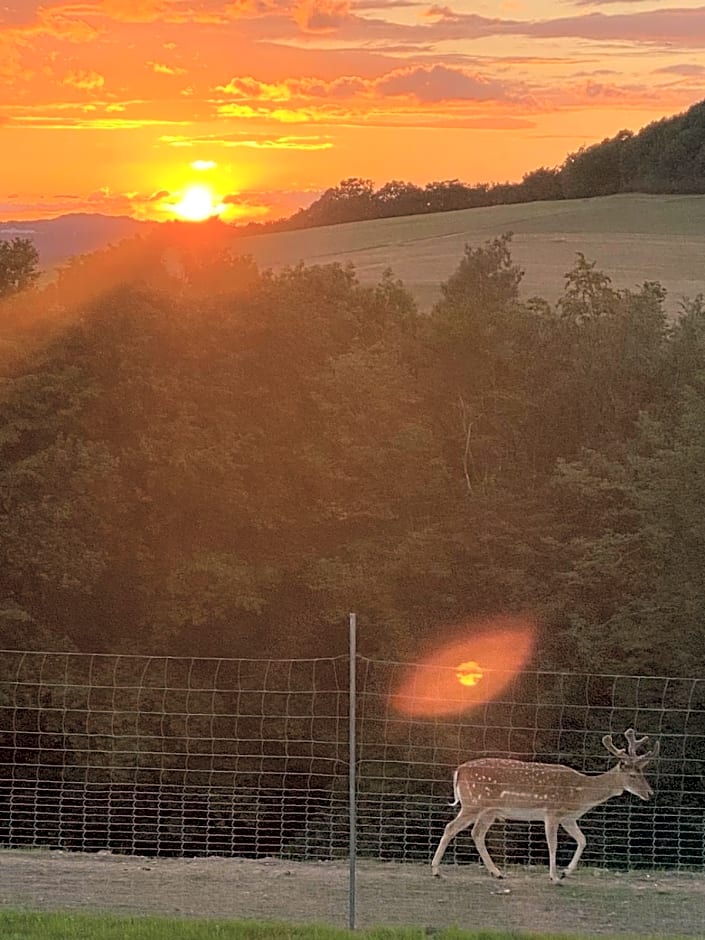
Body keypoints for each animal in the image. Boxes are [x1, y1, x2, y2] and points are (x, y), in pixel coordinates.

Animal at [432, 728, 656, 880]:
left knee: (476, 833)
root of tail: (459, 771)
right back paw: (436, 870)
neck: (580, 795)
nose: (650, 793)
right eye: (633, 775)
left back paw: (497, 872)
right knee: (451, 827)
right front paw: (554, 876)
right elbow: (553, 844)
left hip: (488, 811)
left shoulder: (568, 818)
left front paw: (566, 872)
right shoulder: (552, 812)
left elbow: (583, 840)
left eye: (643, 772)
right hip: (473, 803)